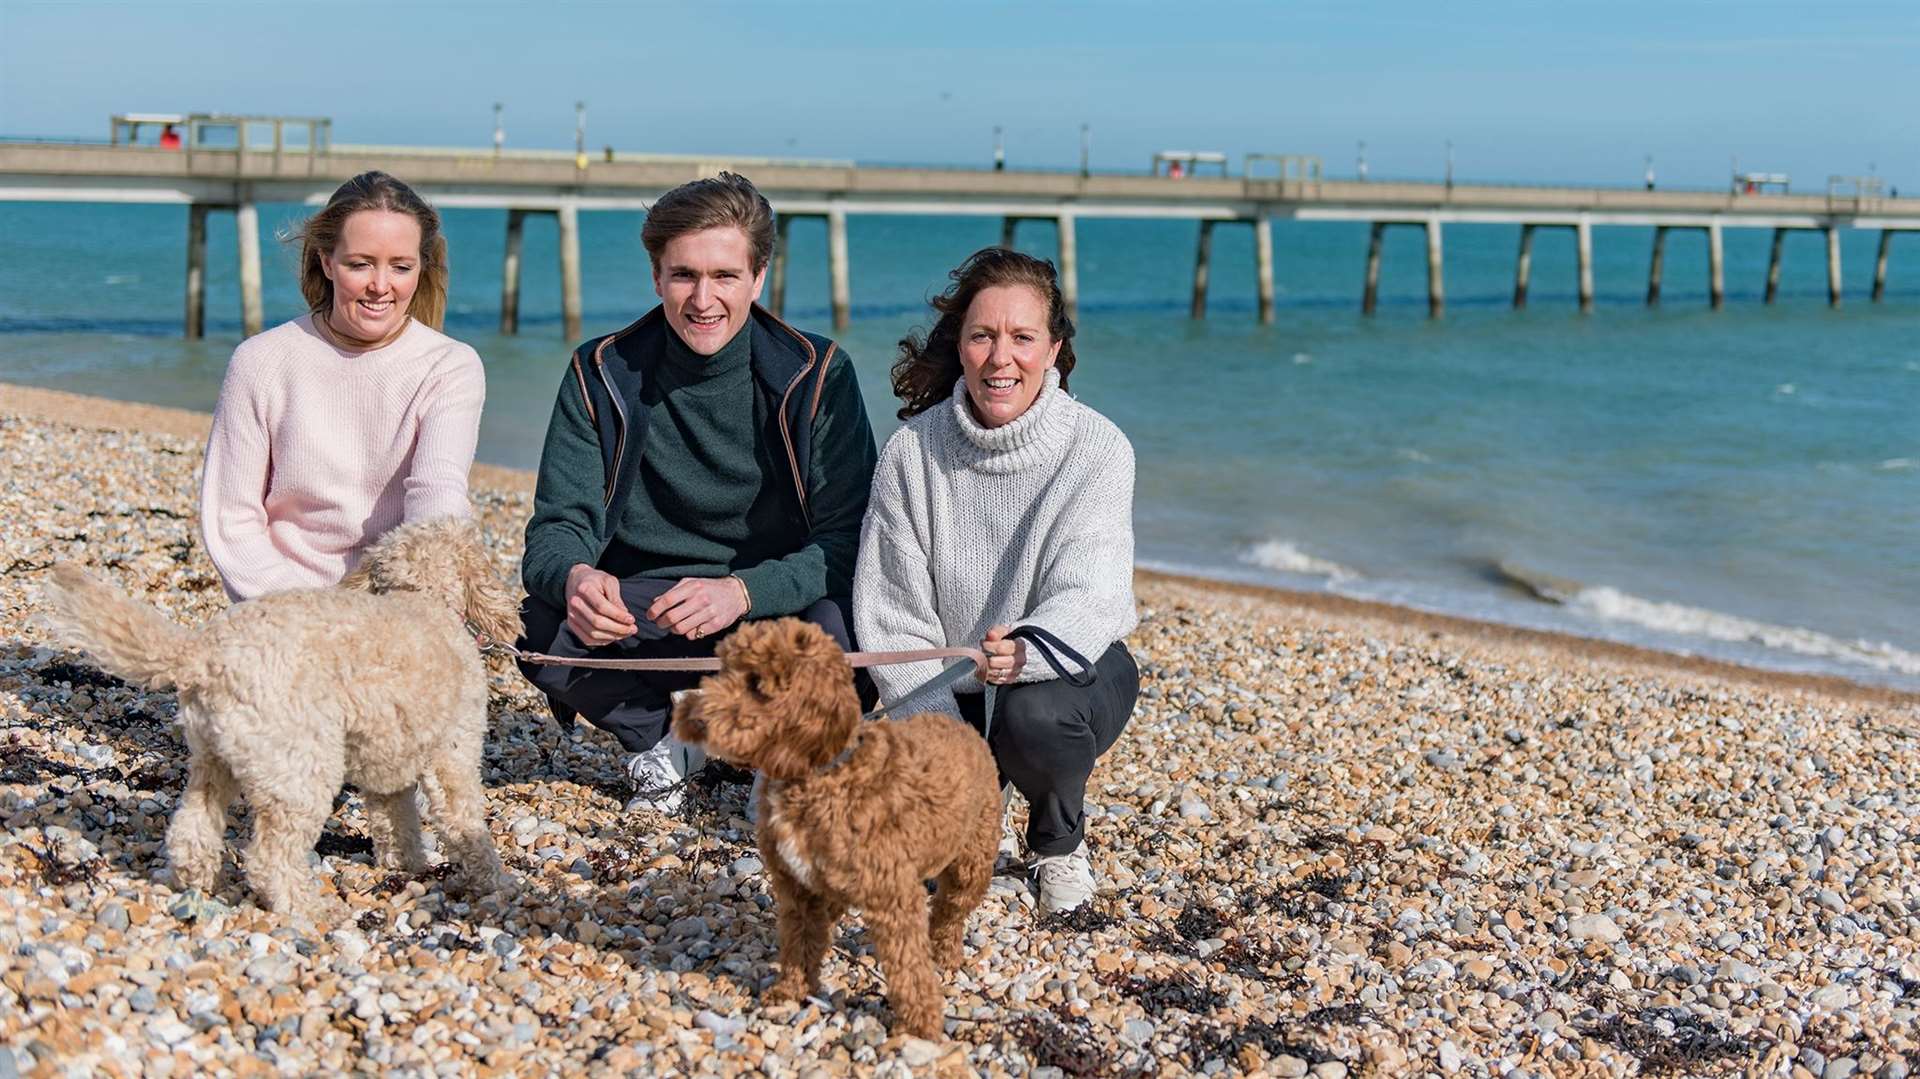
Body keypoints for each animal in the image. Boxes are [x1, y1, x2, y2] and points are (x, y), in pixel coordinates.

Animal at [40, 518, 518, 921]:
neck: (421, 599)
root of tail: (203, 652)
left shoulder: (388, 768)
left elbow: (395, 823)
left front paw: (409, 866)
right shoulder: (453, 757)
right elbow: (464, 823)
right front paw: (497, 881)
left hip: (214, 759)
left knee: (192, 828)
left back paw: (198, 879)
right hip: (301, 770)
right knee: (270, 858)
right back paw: (307, 907)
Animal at [672, 618, 998, 1036]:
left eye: (757, 684)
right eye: (725, 669)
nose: (690, 714)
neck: (821, 772)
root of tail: (964, 728)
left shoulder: (894, 897)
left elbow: (908, 967)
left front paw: (920, 1026)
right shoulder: (798, 891)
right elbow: (799, 943)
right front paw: (790, 991)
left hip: (971, 862)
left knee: (949, 911)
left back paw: (945, 953)